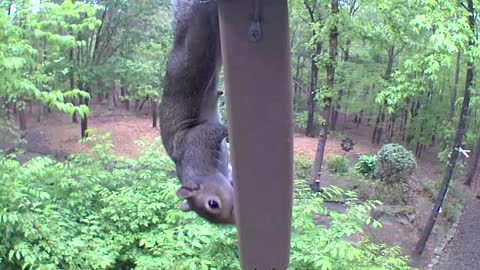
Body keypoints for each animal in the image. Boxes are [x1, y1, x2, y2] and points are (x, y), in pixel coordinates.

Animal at [159, 0, 234, 224]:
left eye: (213, 203)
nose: (234, 219)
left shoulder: (199, 137)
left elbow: (215, 130)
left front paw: (229, 130)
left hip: (195, 49)